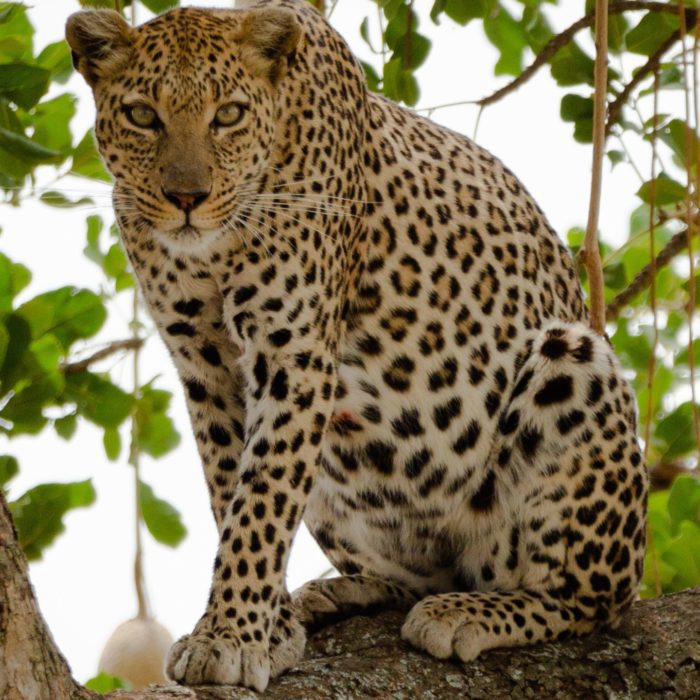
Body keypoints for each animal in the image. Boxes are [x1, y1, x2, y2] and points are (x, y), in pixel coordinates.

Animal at [68, 0, 648, 688]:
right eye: (142, 115)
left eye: (228, 114)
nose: (187, 198)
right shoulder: (206, 366)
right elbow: (232, 490)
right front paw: (265, 628)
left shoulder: (292, 351)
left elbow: (262, 497)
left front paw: (230, 634)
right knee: (417, 572)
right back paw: (338, 593)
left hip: (573, 365)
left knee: (591, 599)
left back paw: (469, 612)